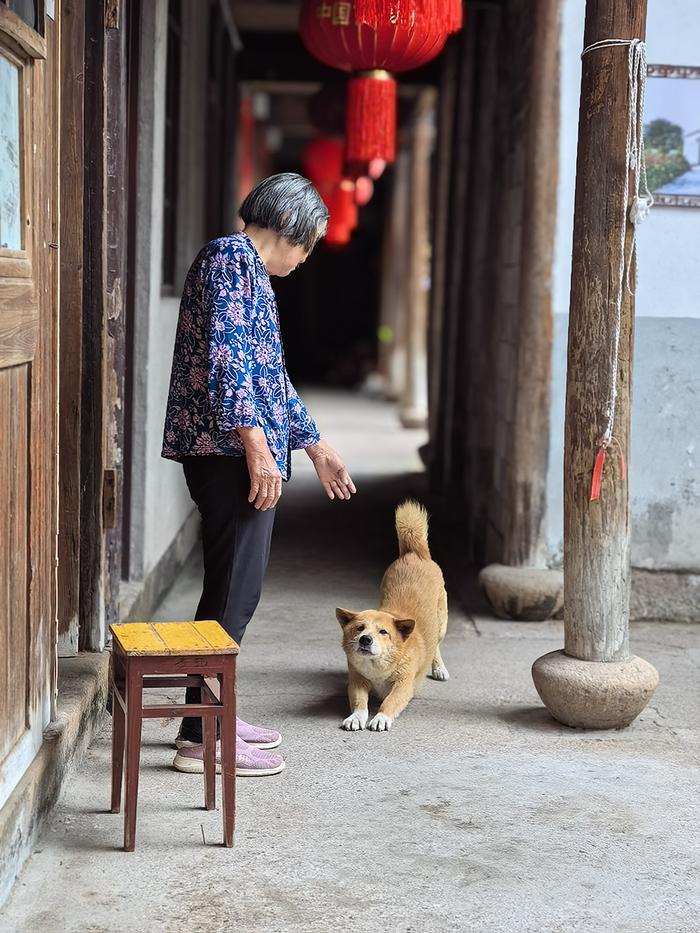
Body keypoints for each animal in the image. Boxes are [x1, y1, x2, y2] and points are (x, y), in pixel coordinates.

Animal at [338, 498, 448, 732]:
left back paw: (439, 668)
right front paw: (356, 717)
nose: (365, 639)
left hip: (442, 623)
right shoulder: (357, 681)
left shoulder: (404, 686)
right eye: (359, 628)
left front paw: (381, 717)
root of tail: (414, 553)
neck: (378, 667)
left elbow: (390, 701)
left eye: (383, 632)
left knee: (436, 645)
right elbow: (359, 701)